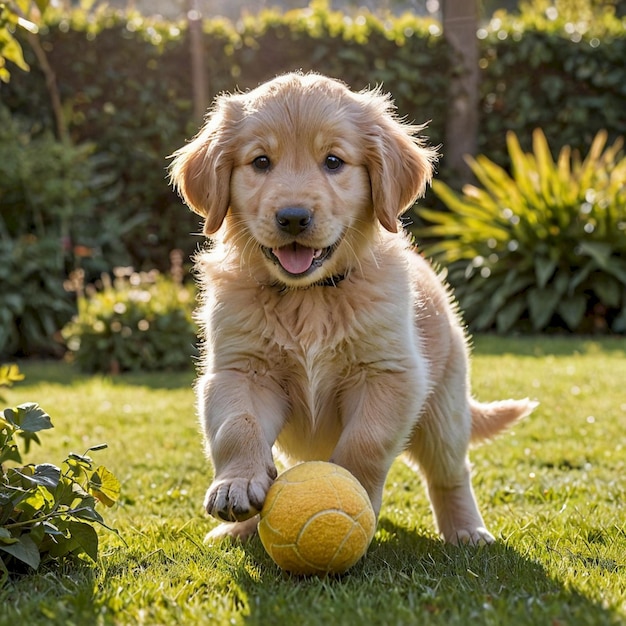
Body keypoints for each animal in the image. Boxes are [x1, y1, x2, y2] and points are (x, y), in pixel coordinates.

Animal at [168, 70, 532, 544]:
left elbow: (366, 442)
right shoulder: (239, 369)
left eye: (334, 162)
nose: (293, 217)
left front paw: (353, 494)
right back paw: (241, 529)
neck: (310, 295)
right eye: (261, 162)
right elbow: (237, 426)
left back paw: (467, 530)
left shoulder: (390, 374)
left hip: (444, 410)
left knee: (451, 473)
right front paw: (238, 484)